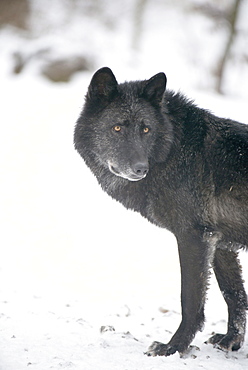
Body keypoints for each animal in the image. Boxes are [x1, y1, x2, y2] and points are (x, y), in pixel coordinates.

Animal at [74, 68, 248, 356]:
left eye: (146, 129)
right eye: (117, 128)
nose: (139, 168)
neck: (173, 150)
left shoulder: (194, 237)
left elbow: (190, 300)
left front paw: (173, 347)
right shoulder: (220, 243)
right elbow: (234, 294)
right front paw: (231, 341)